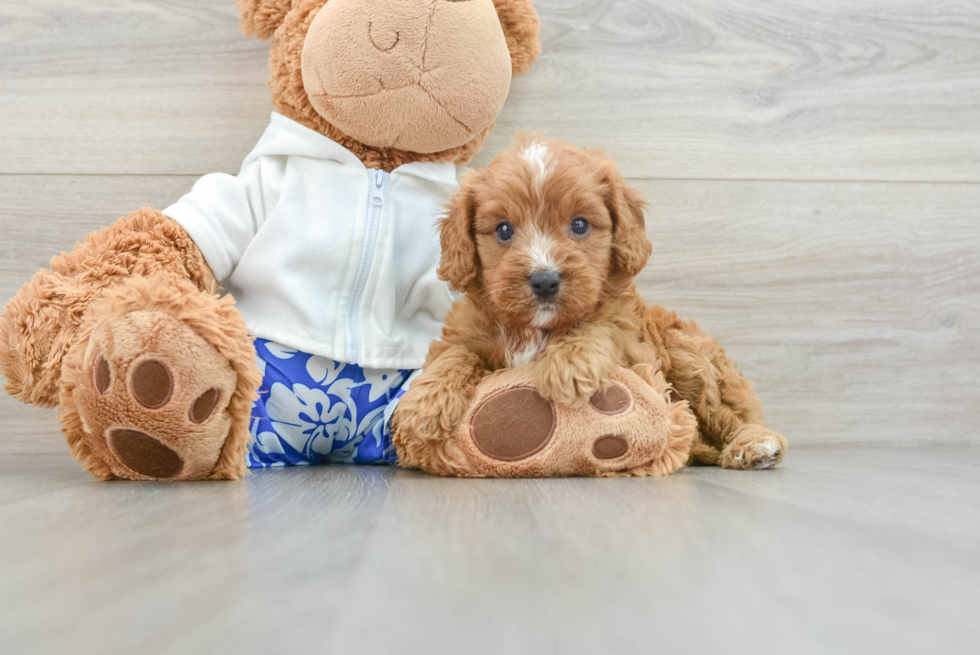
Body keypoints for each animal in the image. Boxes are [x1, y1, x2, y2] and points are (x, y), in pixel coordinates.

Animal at [394, 135, 784, 472]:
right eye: (504, 230)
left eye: (580, 225)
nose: (545, 280)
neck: (536, 328)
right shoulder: (466, 332)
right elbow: (455, 353)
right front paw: (423, 403)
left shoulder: (632, 341)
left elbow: (601, 326)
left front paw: (570, 361)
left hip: (689, 357)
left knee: (725, 414)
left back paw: (754, 445)